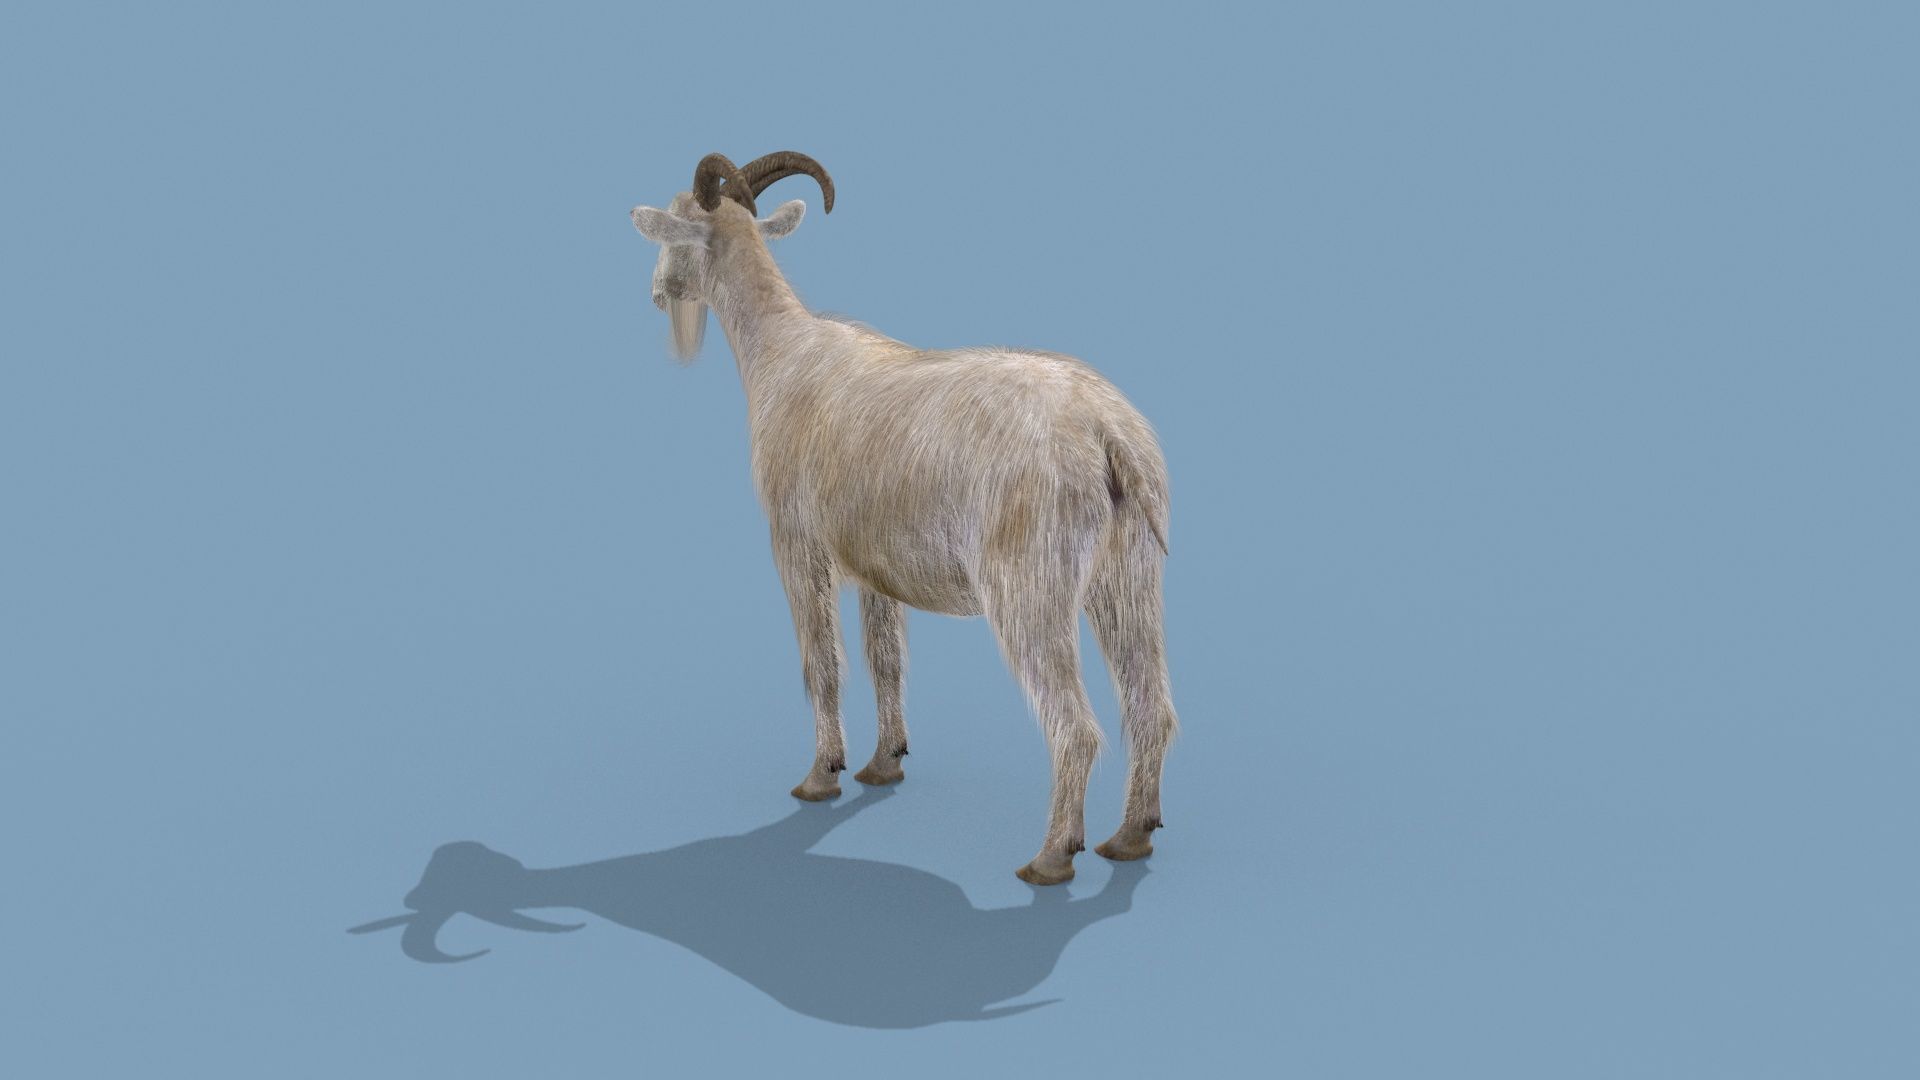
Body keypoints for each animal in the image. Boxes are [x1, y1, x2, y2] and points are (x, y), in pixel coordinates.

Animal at [629, 151, 1179, 885]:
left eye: (673, 228)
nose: (659, 294)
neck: (784, 353)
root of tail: (1108, 434)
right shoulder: (874, 569)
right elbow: (884, 659)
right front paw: (882, 764)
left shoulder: (797, 544)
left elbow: (822, 662)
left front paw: (820, 776)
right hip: (1129, 576)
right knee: (1151, 707)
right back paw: (1131, 837)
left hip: (1030, 586)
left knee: (1074, 724)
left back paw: (1051, 858)